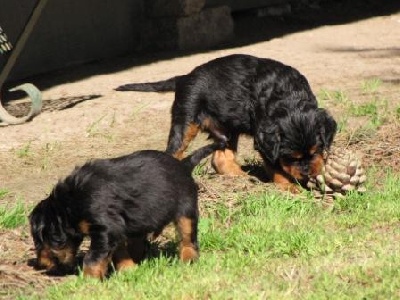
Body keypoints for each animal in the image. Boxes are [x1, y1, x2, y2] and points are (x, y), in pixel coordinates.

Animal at [30, 141, 225, 278]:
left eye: (40, 242)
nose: (41, 265)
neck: (69, 203)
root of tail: (183, 164)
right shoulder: (115, 229)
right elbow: (118, 252)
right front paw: (129, 271)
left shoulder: (105, 227)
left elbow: (92, 258)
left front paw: (88, 282)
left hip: (185, 208)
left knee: (187, 237)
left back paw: (188, 260)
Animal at [116, 53, 338, 191]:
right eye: (290, 157)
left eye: (316, 150)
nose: (307, 172)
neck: (289, 99)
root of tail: (184, 77)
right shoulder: (265, 141)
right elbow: (275, 165)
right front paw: (289, 186)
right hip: (187, 118)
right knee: (174, 151)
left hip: (227, 128)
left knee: (220, 158)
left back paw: (243, 177)